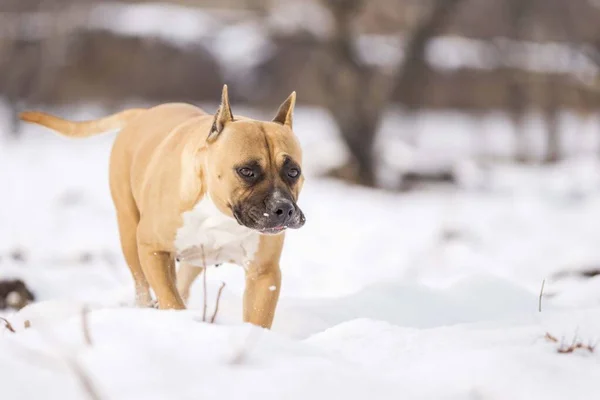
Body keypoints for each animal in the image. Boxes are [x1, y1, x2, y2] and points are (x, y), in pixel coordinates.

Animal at [19, 85, 304, 328]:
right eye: (246, 171)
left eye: (293, 172)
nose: (283, 208)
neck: (218, 213)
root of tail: (142, 113)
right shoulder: (153, 249)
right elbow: (170, 299)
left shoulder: (264, 274)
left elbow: (258, 318)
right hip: (130, 235)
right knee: (142, 284)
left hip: (195, 256)